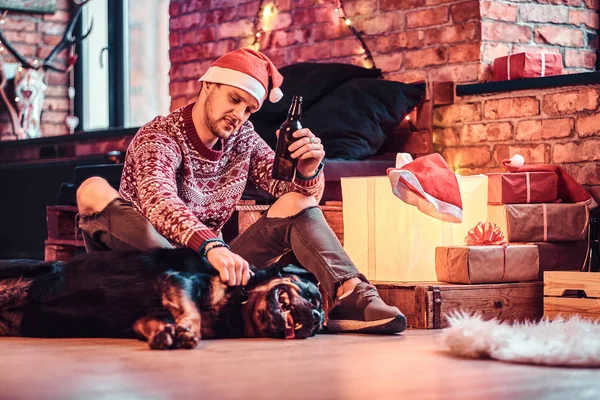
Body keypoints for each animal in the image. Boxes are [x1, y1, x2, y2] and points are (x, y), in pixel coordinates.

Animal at [0, 248, 324, 348]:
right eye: (313, 297)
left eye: (318, 326)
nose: (317, 318)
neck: (239, 301)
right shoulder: (178, 280)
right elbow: (192, 311)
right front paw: (189, 330)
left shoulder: (146, 316)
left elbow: (157, 321)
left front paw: (166, 333)